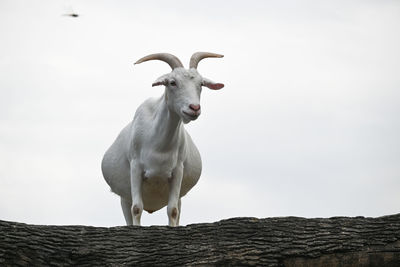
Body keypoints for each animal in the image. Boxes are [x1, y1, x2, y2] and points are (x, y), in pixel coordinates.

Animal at [101, 51, 225, 226]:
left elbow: (172, 210)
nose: (194, 108)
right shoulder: (135, 168)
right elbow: (137, 208)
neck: (159, 147)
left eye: (201, 84)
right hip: (124, 197)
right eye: (172, 82)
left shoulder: (177, 171)